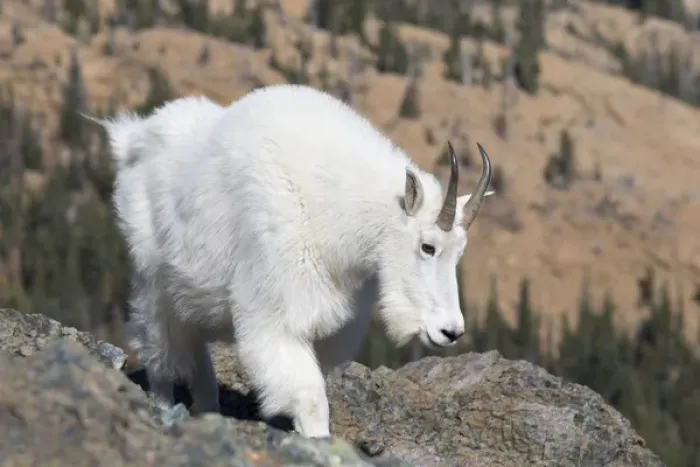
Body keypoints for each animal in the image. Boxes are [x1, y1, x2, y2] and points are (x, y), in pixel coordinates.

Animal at [93, 84, 494, 438]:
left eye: (460, 251)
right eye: (428, 247)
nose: (450, 331)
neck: (332, 205)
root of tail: (133, 138)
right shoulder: (278, 315)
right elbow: (310, 400)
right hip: (153, 280)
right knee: (159, 349)